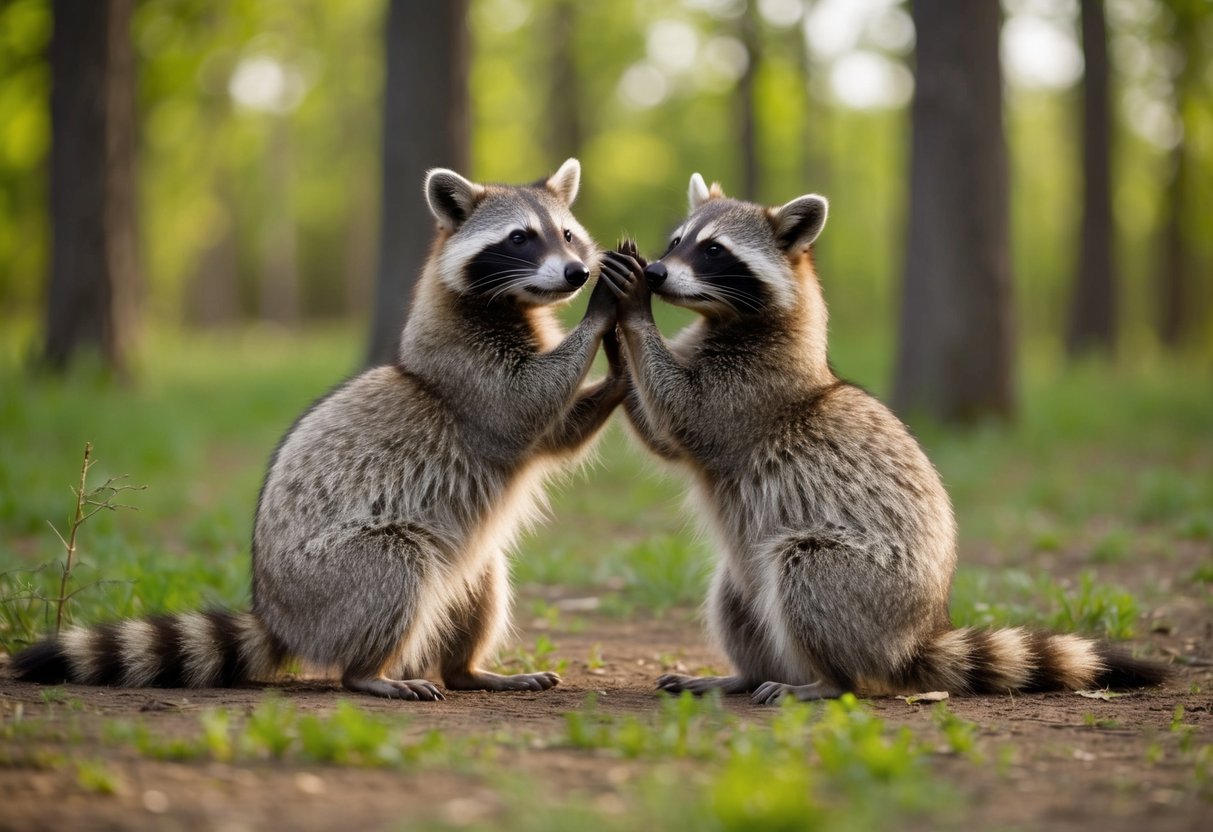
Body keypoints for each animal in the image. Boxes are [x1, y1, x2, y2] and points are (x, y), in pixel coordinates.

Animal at [14, 159, 626, 699]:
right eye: (520, 238)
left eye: (567, 235)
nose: (576, 272)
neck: (515, 306)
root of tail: (278, 614)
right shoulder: (463, 372)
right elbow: (524, 406)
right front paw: (602, 315)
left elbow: (556, 432)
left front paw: (623, 370)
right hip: (333, 576)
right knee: (395, 567)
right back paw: (369, 672)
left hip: (458, 566)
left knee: (482, 585)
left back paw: (467, 670)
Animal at [597, 174, 1169, 702]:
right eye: (677, 241)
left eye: (714, 250)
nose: (656, 272)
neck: (725, 320)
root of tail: (915, 639)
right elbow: (664, 434)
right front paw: (613, 353)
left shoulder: (754, 391)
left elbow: (685, 415)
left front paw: (634, 315)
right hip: (752, 581)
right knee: (732, 596)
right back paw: (745, 675)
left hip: (867, 588)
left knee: (811, 572)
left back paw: (831, 681)